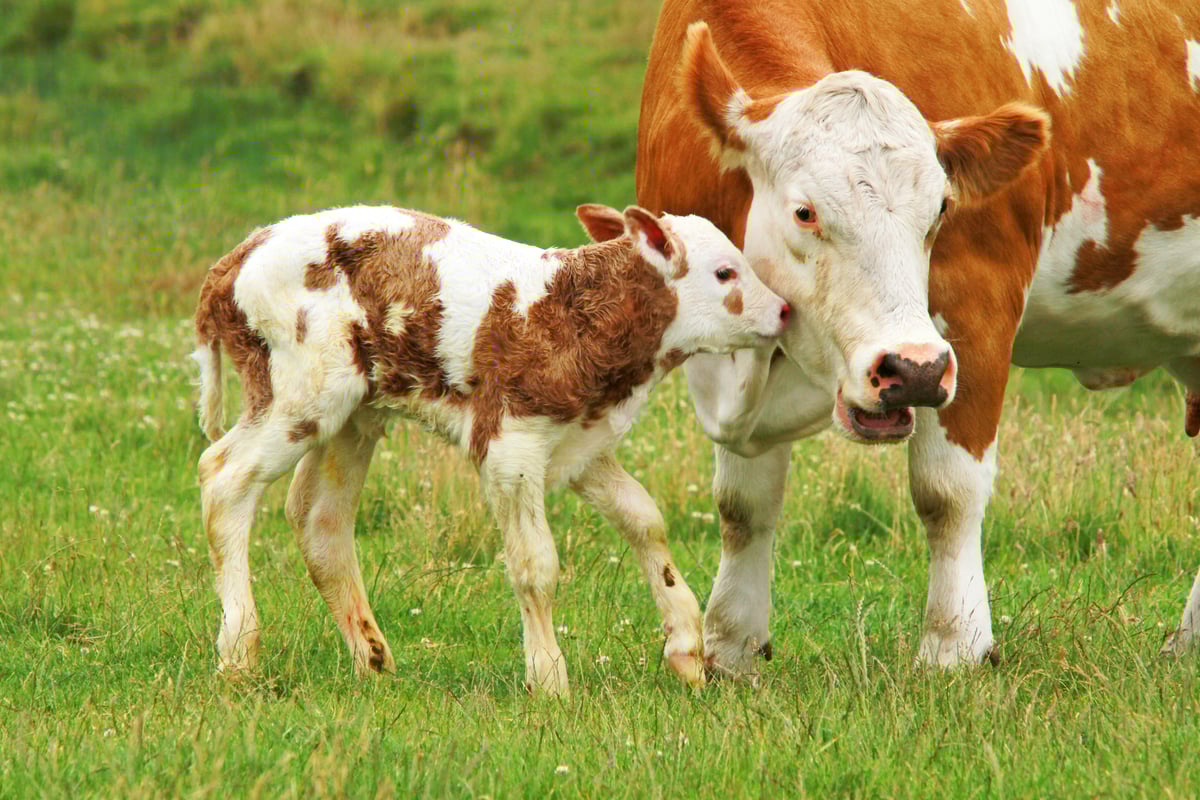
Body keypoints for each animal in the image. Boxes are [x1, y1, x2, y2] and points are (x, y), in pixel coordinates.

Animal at [191, 203, 789, 694]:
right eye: (725, 272)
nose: (784, 310)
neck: (571, 313)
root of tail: (239, 255)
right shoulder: (510, 446)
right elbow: (535, 564)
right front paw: (548, 679)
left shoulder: (580, 441)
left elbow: (645, 520)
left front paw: (685, 646)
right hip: (301, 392)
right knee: (224, 476)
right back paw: (239, 654)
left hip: (354, 412)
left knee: (319, 518)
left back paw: (373, 659)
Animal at [636, 0, 1200, 676]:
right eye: (805, 212)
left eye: (941, 210)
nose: (913, 370)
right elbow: (742, 503)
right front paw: (732, 649)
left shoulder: (976, 305)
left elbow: (947, 490)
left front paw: (953, 647)